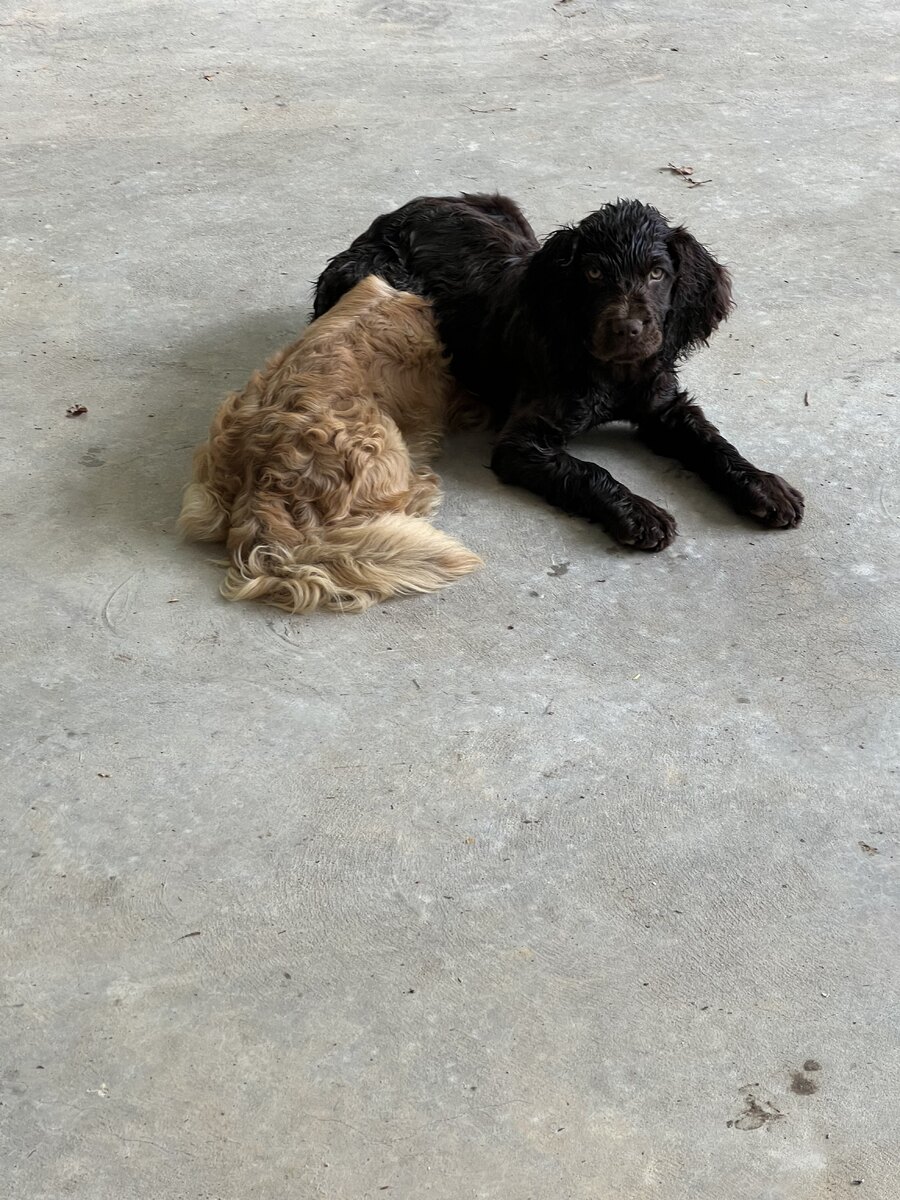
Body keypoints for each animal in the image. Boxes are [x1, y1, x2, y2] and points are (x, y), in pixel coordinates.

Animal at [314, 192, 804, 550]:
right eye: (593, 273)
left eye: (657, 273)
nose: (627, 329)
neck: (612, 373)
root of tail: (395, 215)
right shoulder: (523, 441)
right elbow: (588, 470)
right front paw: (638, 513)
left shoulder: (664, 405)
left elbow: (711, 443)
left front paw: (763, 486)